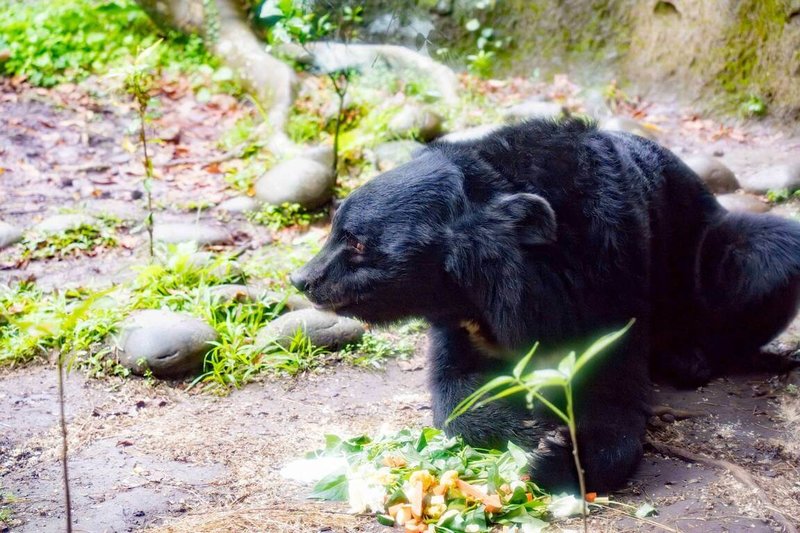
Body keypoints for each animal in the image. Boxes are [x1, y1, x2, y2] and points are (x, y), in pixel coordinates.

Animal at [290, 118, 800, 492]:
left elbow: (612, 394)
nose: (302, 280)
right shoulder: (459, 315)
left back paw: (691, 359)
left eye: (357, 243)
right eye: (335, 230)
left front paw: (552, 451)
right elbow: (453, 390)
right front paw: (531, 427)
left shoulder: (613, 273)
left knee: (768, 253)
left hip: (705, 257)